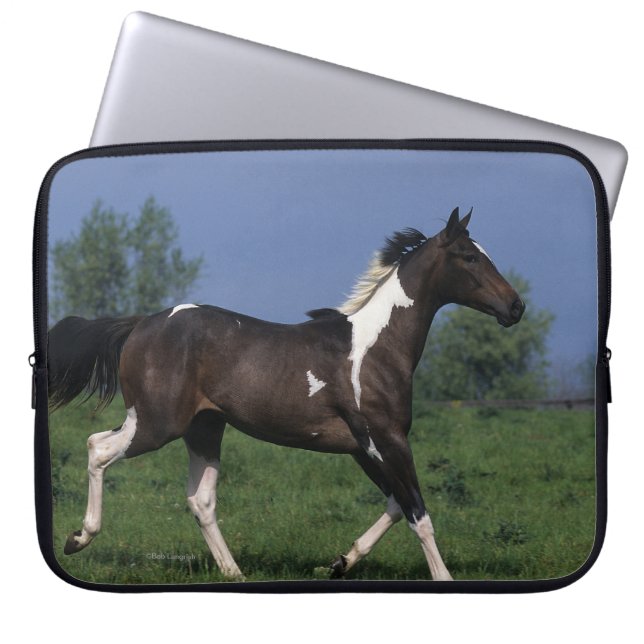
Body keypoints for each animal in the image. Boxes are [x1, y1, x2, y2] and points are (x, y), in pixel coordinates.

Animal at [48, 207, 524, 581]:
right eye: (469, 256)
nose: (515, 307)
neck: (377, 347)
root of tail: (141, 323)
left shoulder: (363, 448)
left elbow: (394, 503)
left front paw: (340, 562)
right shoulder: (386, 439)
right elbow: (418, 513)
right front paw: (442, 577)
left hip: (204, 428)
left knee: (200, 500)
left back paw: (234, 572)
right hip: (156, 423)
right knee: (98, 448)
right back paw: (79, 538)